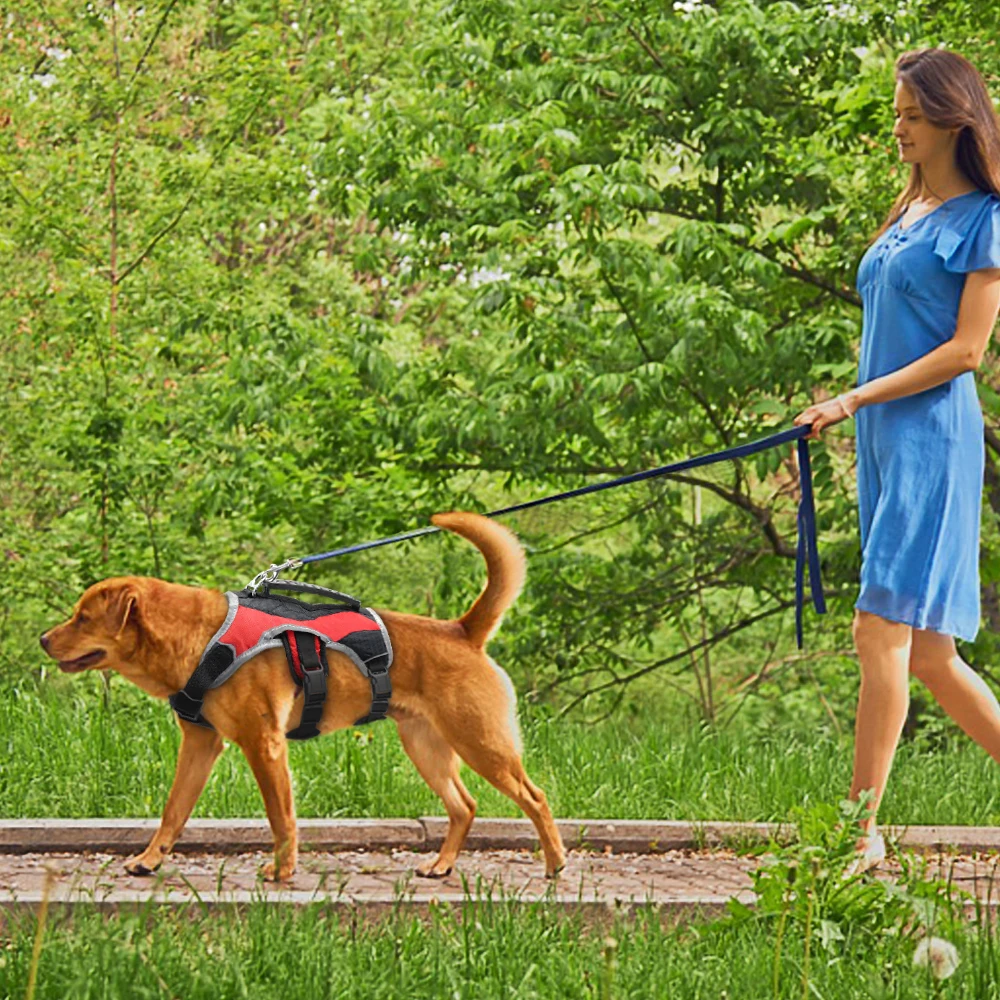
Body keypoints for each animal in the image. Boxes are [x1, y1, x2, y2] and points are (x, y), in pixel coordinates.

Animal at [41, 512, 564, 880]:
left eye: (83, 618)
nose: (44, 639)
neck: (204, 637)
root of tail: (462, 630)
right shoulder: (201, 744)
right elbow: (173, 811)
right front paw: (150, 860)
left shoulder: (264, 745)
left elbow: (281, 819)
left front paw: (282, 871)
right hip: (427, 747)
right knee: (464, 806)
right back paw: (442, 865)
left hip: (482, 743)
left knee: (535, 797)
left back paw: (555, 863)